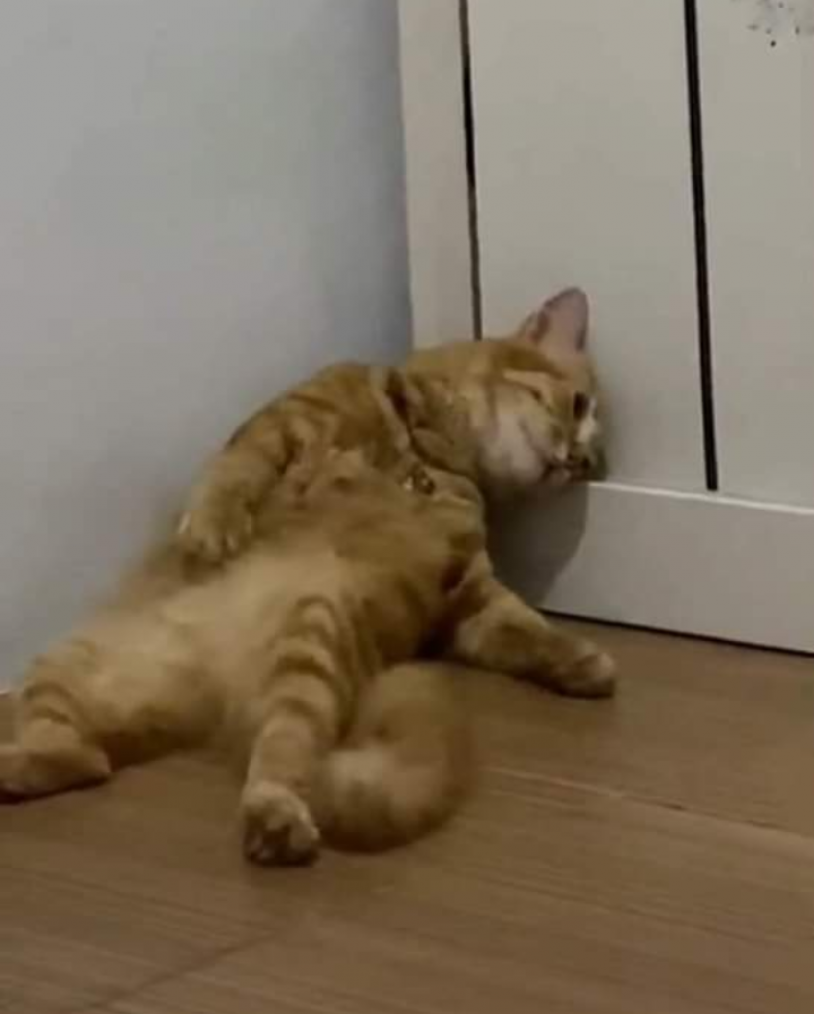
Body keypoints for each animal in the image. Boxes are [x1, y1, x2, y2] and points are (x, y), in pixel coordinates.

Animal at [0, 288, 614, 863]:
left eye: (589, 462)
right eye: (579, 403)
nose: (578, 465)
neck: (423, 456)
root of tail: (212, 691)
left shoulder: (468, 598)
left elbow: (527, 629)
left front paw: (582, 661)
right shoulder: (281, 423)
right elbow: (234, 473)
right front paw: (212, 529)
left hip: (310, 648)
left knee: (101, 760)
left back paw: (273, 820)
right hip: (66, 664)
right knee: (80, 753)